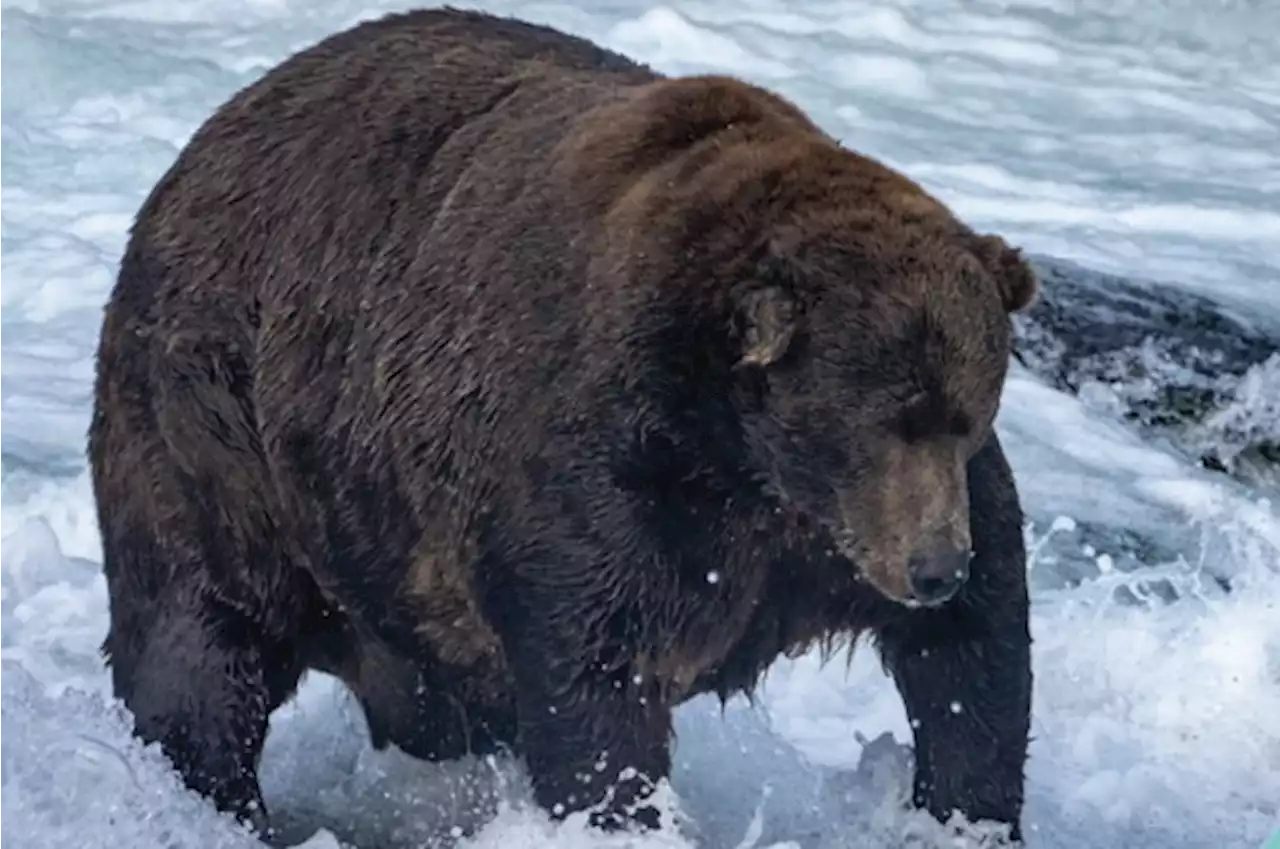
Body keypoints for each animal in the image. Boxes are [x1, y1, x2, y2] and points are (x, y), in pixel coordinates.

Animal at [87, 4, 1029, 845]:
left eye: (965, 414)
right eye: (882, 420)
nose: (933, 566)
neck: (742, 457)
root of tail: (201, 143)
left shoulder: (837, 534)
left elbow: (975, 654)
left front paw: (966, 809)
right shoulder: (607, 476)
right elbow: (596, 675)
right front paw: (620, 810)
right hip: (222, 432)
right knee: (201, 640)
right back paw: (210, 795)